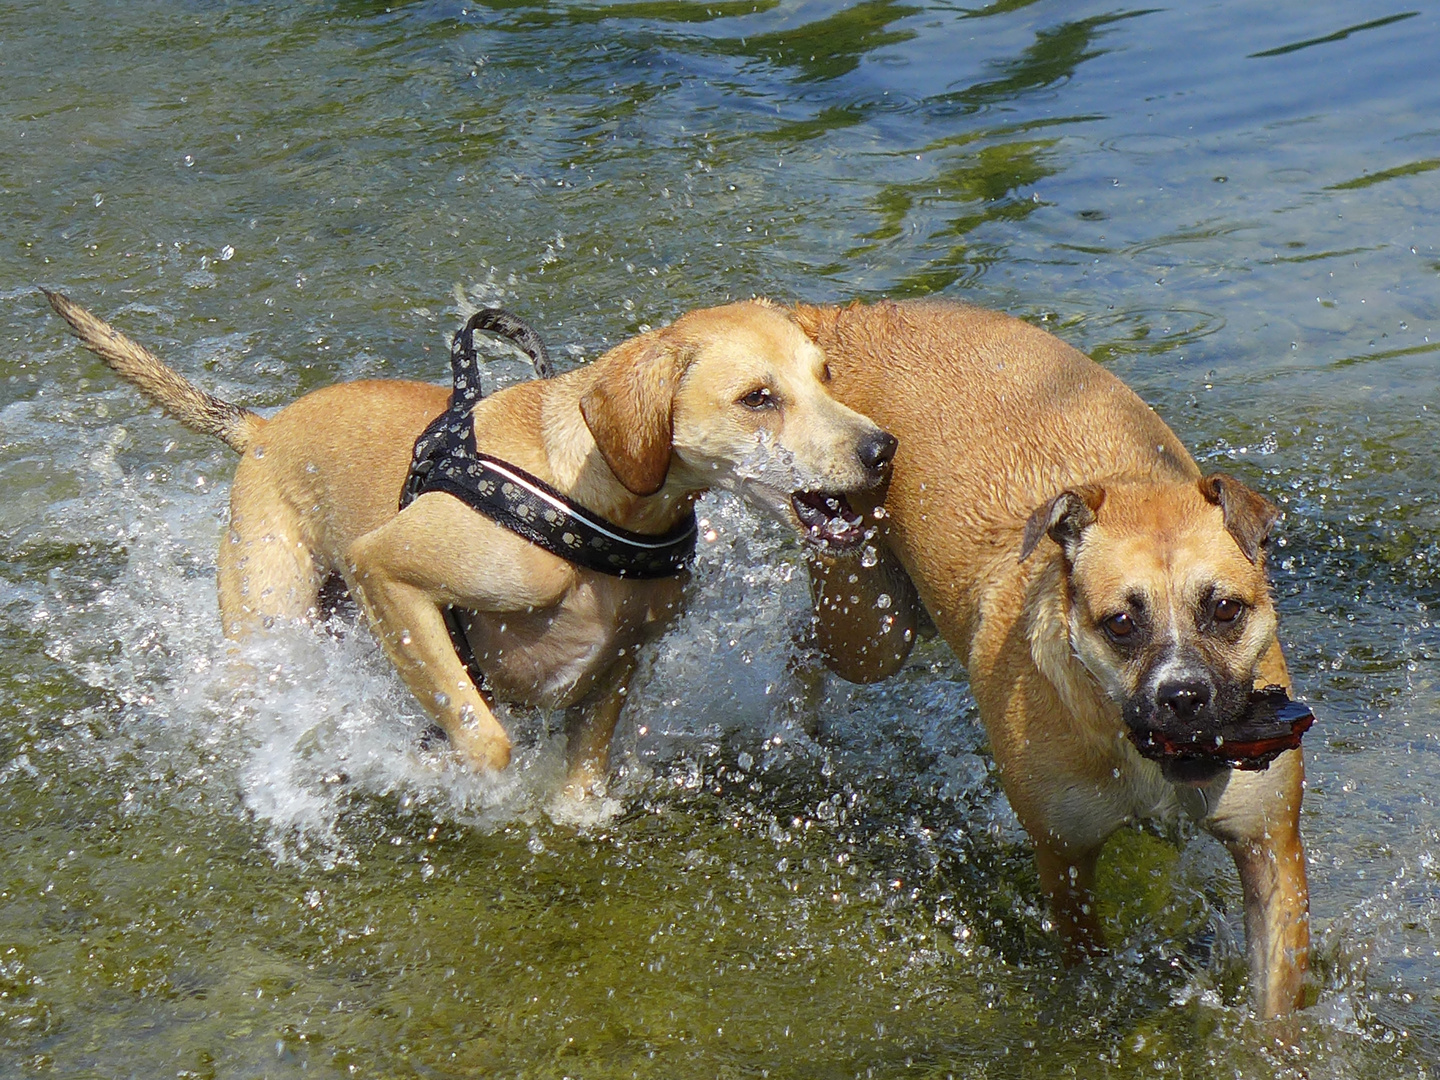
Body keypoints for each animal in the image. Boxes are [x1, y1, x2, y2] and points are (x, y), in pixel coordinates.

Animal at [45, 289, 892, 794]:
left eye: (826, 375)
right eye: (758, 398)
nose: (883, 449)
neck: (588, 498)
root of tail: (261, 428)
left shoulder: (621, 659)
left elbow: (582, 783)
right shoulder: (385, 571)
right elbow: (485, 739)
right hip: (270, 619)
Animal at [806, 298, 1313, 1025]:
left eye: (1225, 609)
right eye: (1121, 623)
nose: (1183, 696)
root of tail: (850, 315)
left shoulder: (1270, 848)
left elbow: (1276, 1008)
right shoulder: (1065, 860)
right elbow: (1086, 956)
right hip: (865, 627)